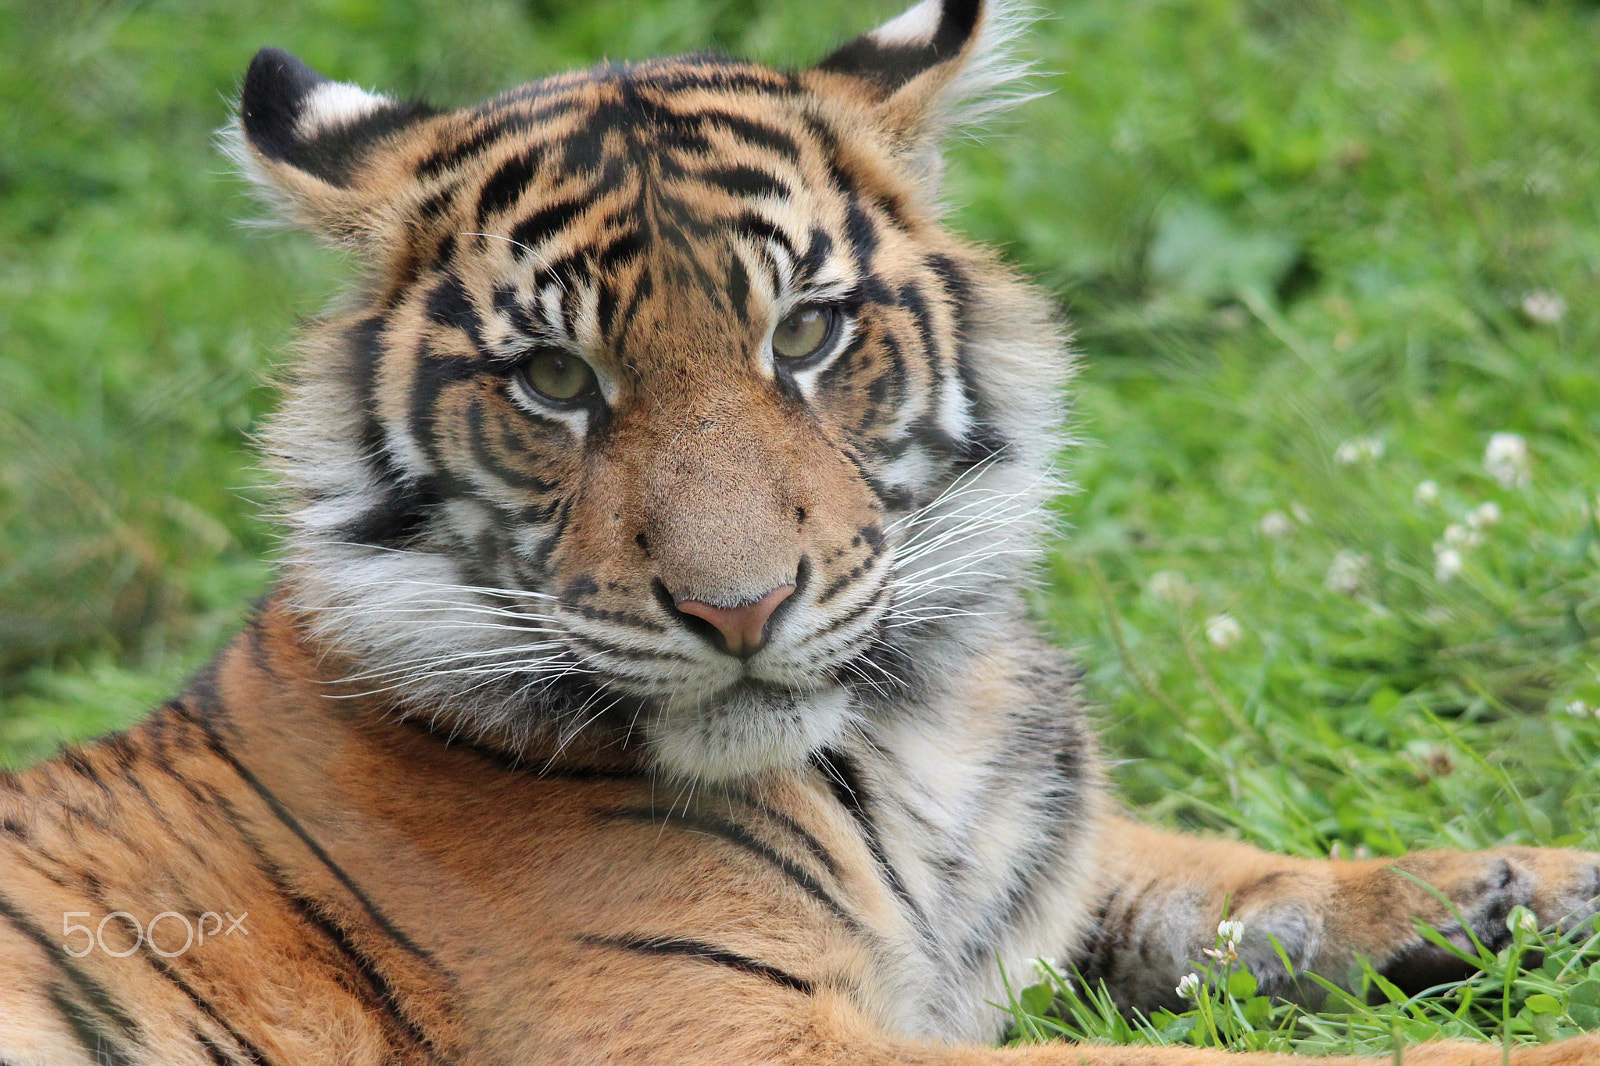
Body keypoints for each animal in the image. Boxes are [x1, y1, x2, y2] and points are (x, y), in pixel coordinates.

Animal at [2, 1, 1598, 1063]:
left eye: (808, 334)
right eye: (555, 380)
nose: (737, 610)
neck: (907, 731)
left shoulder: (1046, 869)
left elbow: (1227, 877)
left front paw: (1529, 884)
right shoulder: (713, 1027)